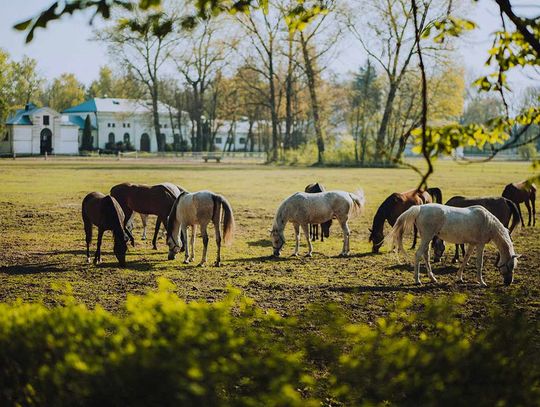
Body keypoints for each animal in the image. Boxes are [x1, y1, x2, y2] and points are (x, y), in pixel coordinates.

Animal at [388, 204, 520, 286]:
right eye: (510, 266)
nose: (508, 282)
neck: (488, 221)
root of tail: (420, 208)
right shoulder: (480, 244)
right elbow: (479, 263)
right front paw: (481, 282)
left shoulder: (472, 244)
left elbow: (466, 259)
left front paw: (460, 278)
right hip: (427, 237)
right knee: (418, 255)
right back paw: (417, 280)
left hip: (427, 238)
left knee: (426, 255)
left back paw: (432, 278)